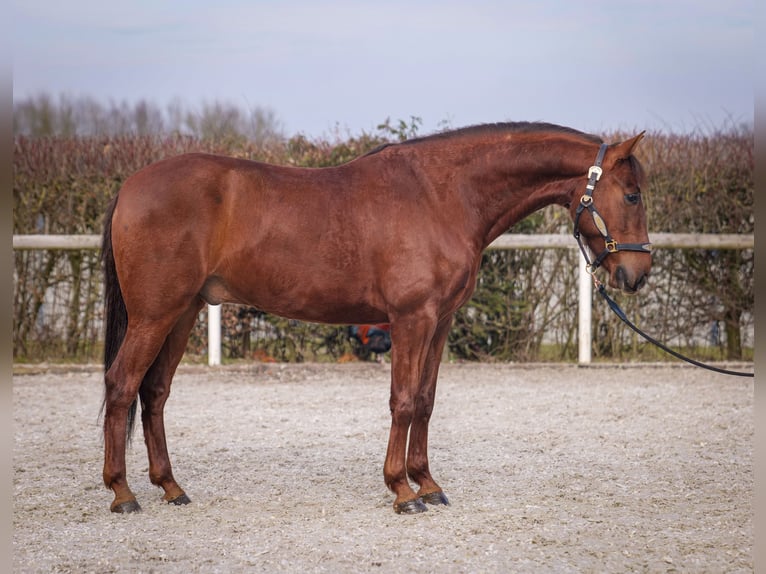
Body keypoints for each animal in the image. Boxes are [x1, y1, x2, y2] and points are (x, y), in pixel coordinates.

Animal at [100, 122, 656, 516]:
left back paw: (171, 487)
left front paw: (428, 484)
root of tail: (130, 187)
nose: (636, 274)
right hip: (154, 315)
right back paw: (122, 493)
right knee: (122, 386)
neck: (441, 195)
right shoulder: (411, 319)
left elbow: (426, 400)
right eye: (632, 195)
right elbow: (403, 401)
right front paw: (401, 491)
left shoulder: (440, 322)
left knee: (154, 393)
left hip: (183, 313)